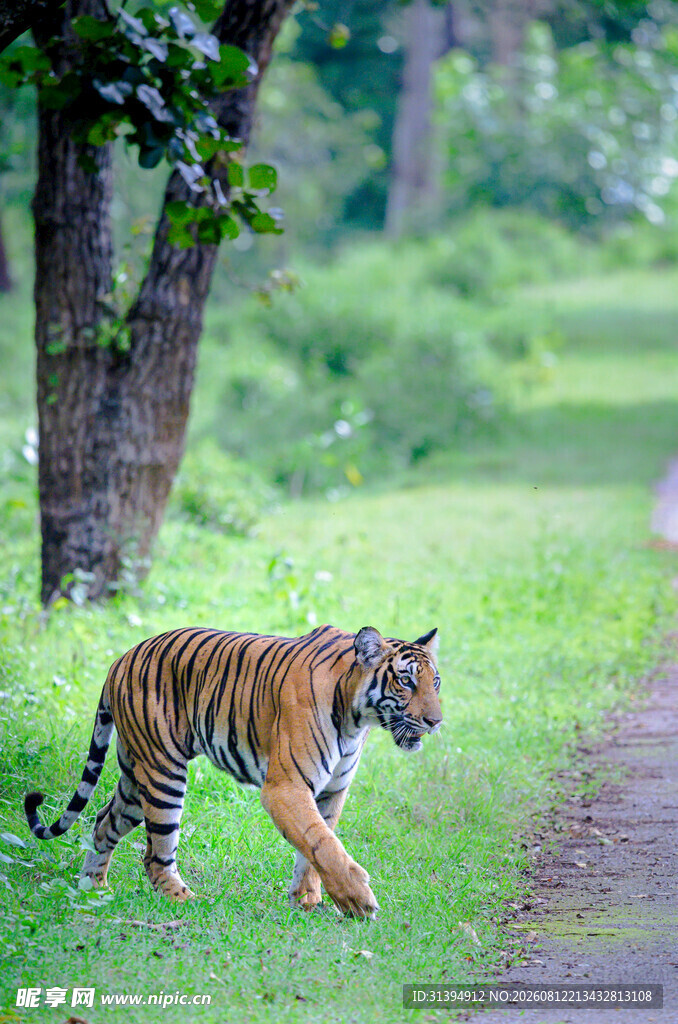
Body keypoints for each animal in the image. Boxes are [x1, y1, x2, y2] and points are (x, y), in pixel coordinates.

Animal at [25, 623, 442, 918]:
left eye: (435, 682)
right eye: (406, 681)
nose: (436, 721)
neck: (358, 716)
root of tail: (121, 658)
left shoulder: (331, 791)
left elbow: (316, 844)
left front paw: (307, 898)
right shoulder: (286, 786)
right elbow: (323, 842)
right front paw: (358, 900)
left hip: (134, 773)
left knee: (103, 821)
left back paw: (93, 888)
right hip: (163, 773)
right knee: (155, 856)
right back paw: (186, 900)